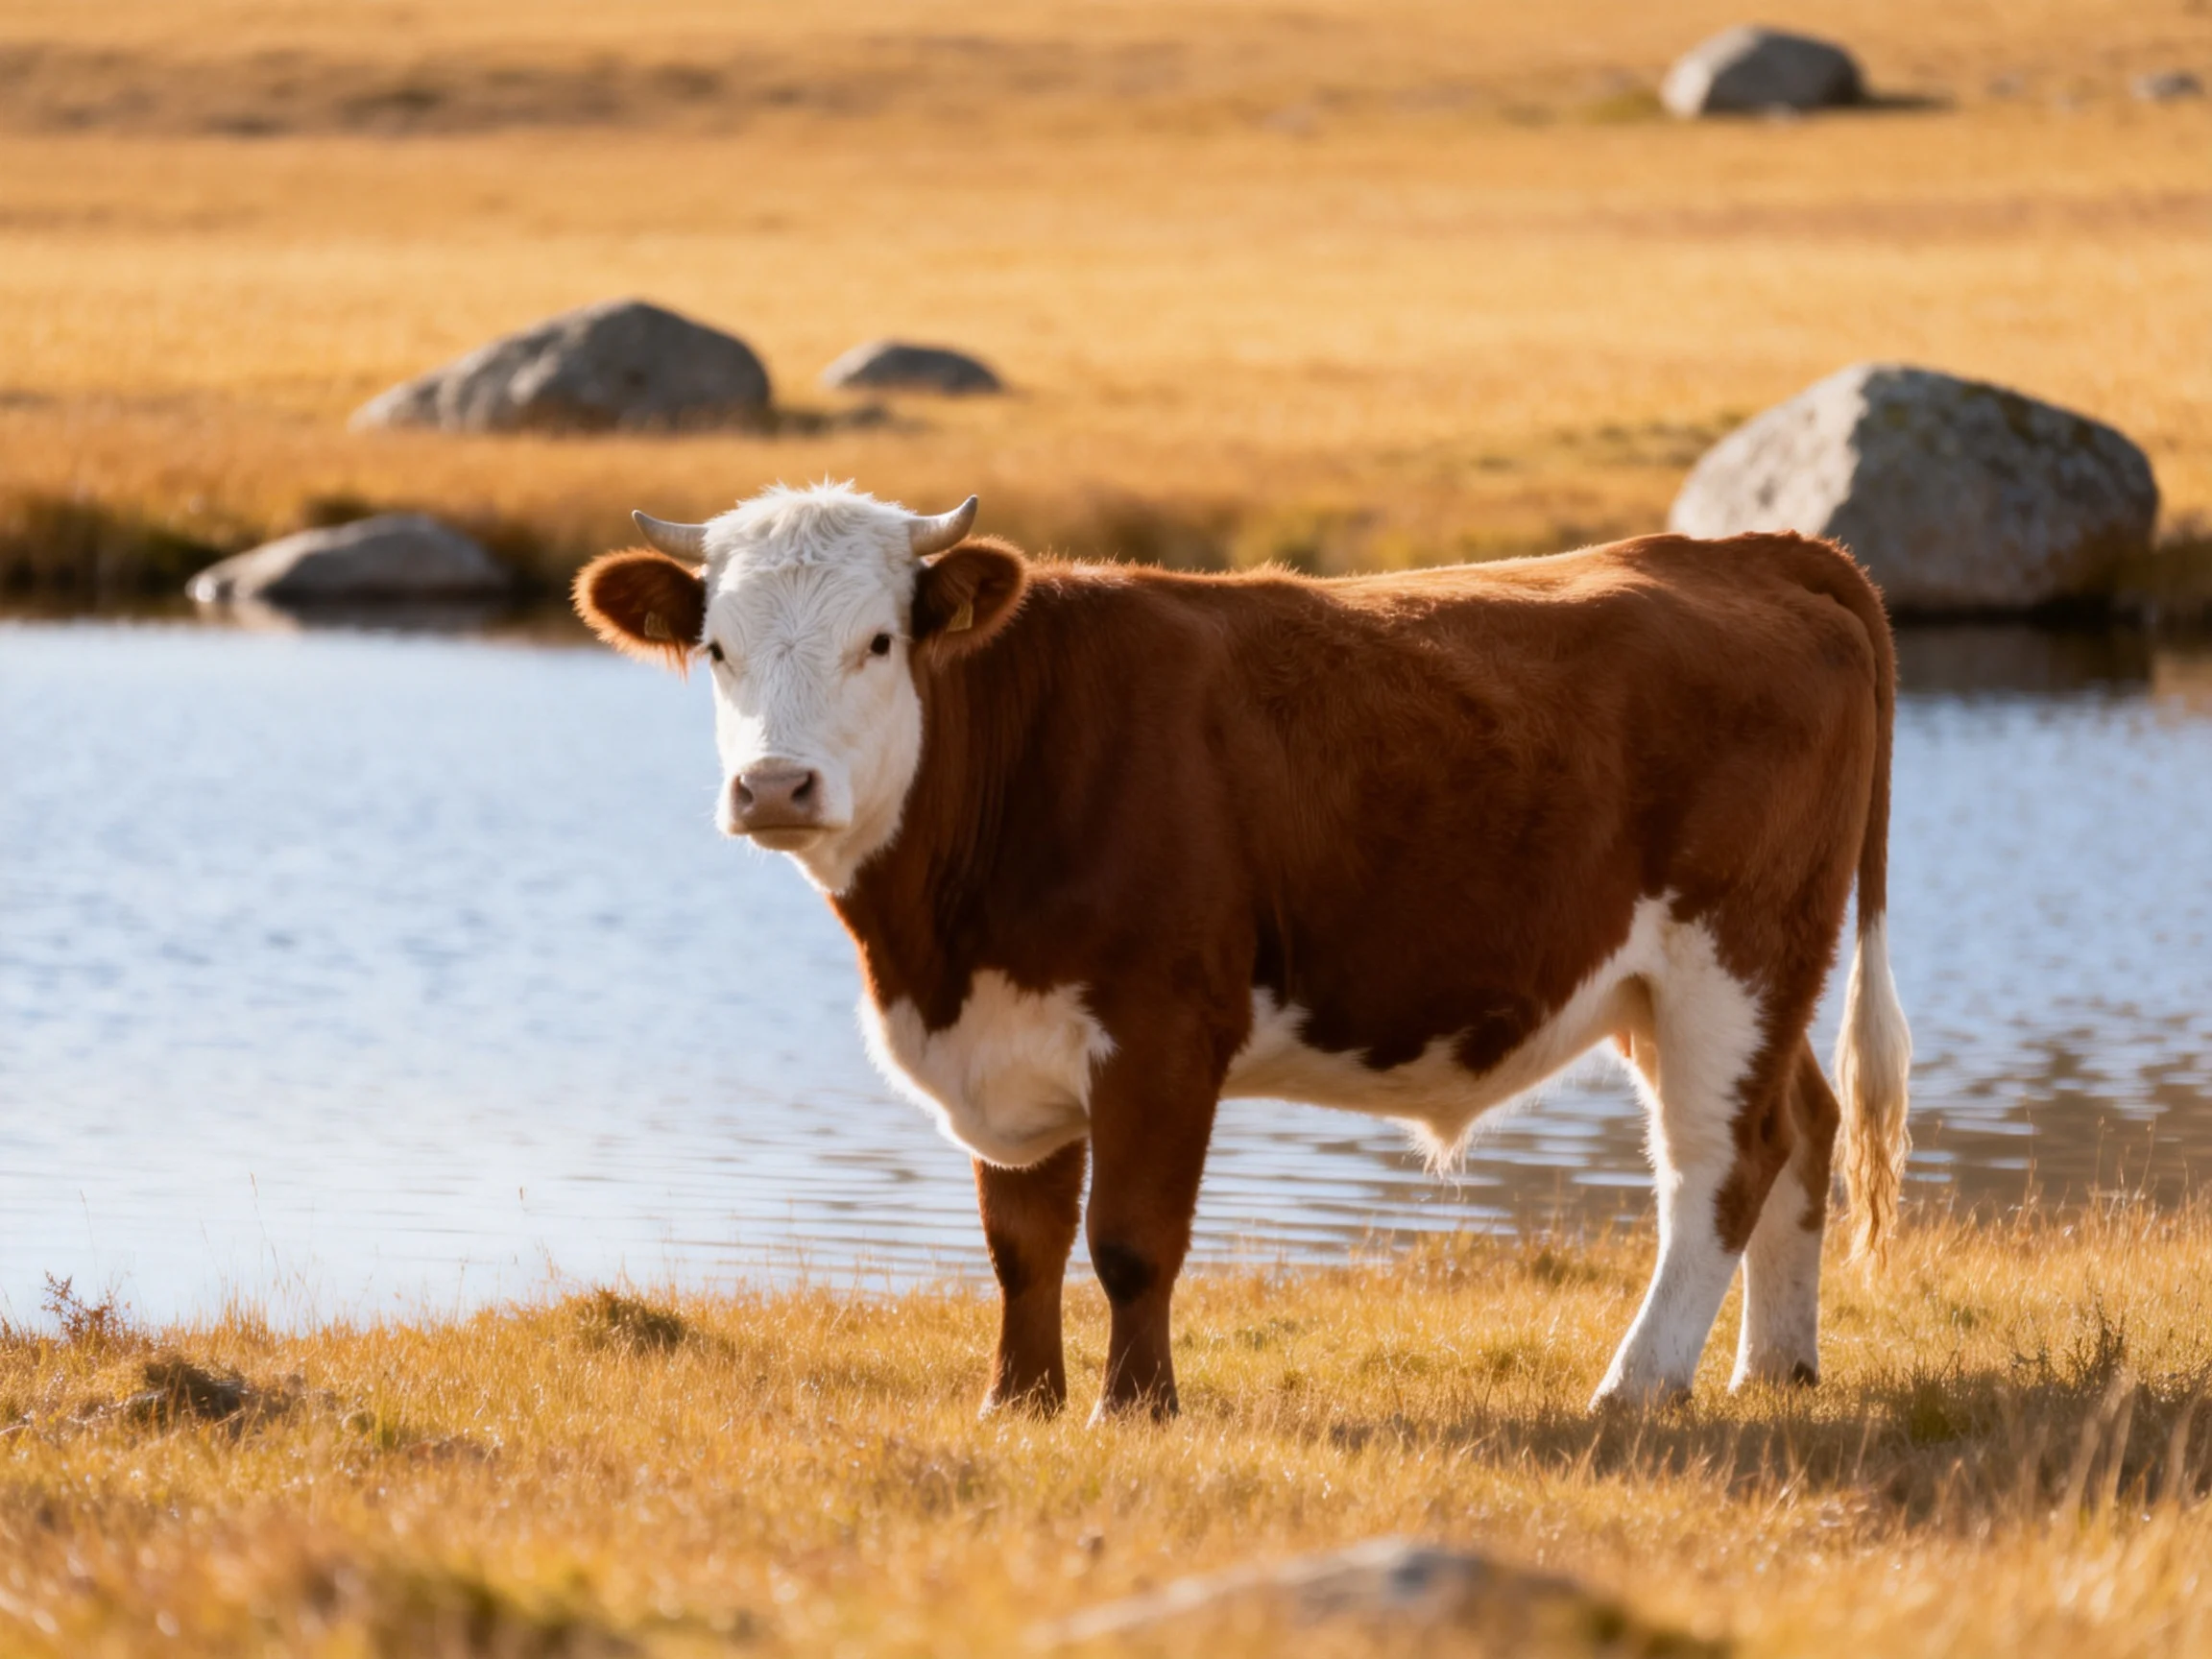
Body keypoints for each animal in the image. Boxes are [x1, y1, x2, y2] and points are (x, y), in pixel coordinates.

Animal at [573, 482, 1912, 1418]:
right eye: (718, 649)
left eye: (879, 644)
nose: (775, 786)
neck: (936, 949)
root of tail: (1751, 551)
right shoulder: (1009, 1041)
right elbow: (1020, 1243)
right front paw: (1018, 1405)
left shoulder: (1165, 1027)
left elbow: (1129, 1240)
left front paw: (1135, 1412)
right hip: (1683, 980)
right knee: (1802, 1123)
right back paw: (1774, 1368)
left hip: (1731, 951)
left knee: (1721, 1162)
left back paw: (1637, 1385)